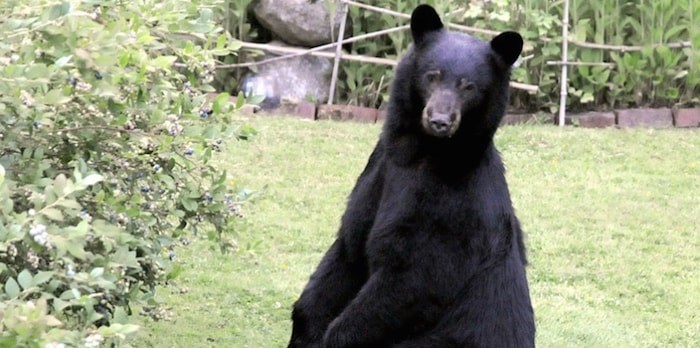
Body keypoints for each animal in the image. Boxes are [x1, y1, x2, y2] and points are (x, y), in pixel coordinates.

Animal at [290, 3, 536, 348]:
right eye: (432, 76)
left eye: (469, 86)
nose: (440, 120)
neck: (420, 152)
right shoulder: (379, 169)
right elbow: (349, 245)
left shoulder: (452, 208)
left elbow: (414, 277)